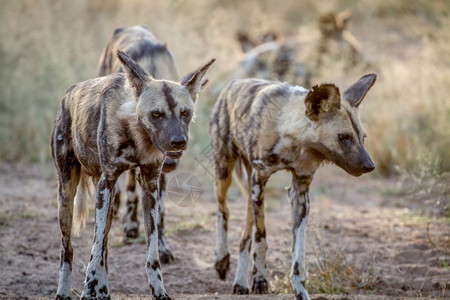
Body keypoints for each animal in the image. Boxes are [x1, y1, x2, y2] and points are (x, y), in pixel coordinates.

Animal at [51, 49, 214, 300]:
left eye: (185, 113)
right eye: (156, 114)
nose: (179, 141)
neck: (138, 136)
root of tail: (67, 95)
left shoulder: (150, 186)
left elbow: (152, 251)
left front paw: (159, 291)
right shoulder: (107, 183)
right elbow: (94, 251)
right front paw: (88, 292)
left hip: (107, 203)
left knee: (105, 247)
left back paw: (104, 292)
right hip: (68, 195)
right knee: (68, 249)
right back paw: (64, 291)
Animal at [97, 24, 180, 262]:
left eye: (184, 117)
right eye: (155, 118)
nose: (171, 162)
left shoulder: (157, 169)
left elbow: (159, 215)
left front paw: (161, 247)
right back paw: (127, 221)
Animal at [210, 72, 376, 298]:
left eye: (363, 138)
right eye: (344, 137)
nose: (370, 166)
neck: (296, 143)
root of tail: (233, 83)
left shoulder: (300, 192)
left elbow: (299, 255)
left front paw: (300, 291)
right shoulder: (259, 179)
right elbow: (261, 238)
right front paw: (260, 279)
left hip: (249, 190)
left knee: (246, 233)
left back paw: (240, 282)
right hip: (224, 174)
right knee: (223, 211)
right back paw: (222, 260)